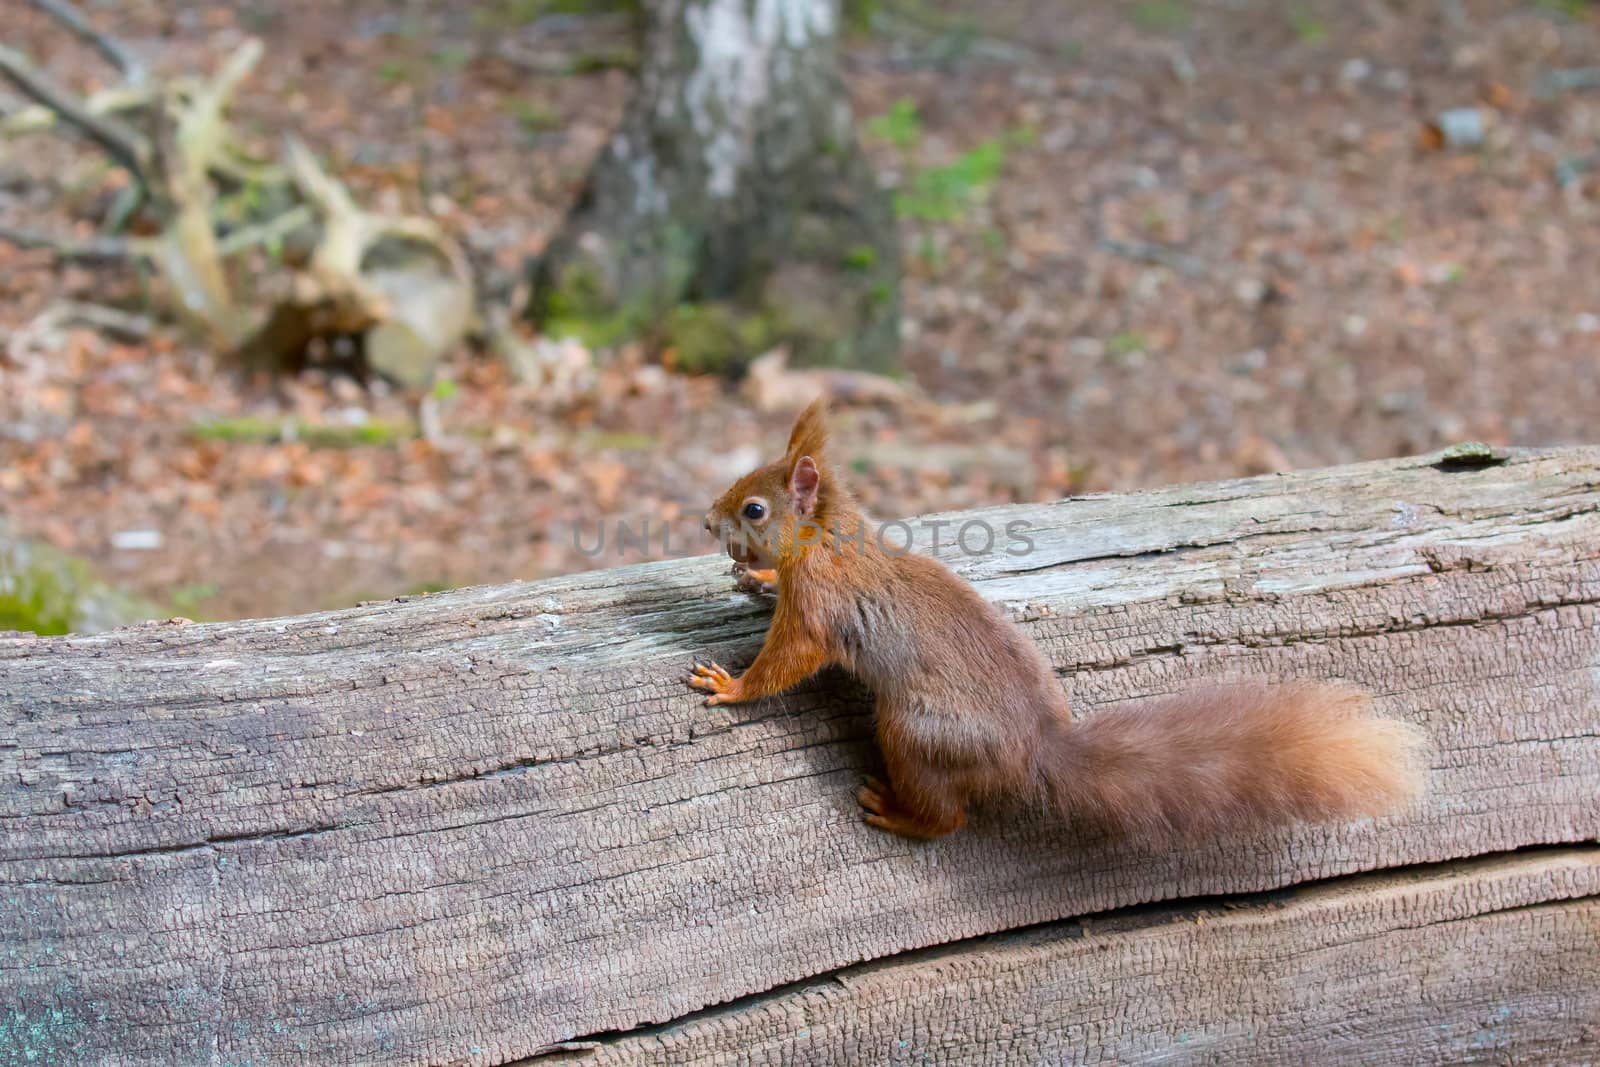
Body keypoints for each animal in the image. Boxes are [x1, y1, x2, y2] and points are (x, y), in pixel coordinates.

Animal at [688, 403, 1427, 844]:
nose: (705, 521)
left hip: (916, 733)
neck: (828, 540)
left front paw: (731, 685)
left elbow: (787, 659)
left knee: (950, 817)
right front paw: (756, 580)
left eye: (754, 508)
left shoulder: (820, 608)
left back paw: (896, 813)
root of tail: (1033, 749)